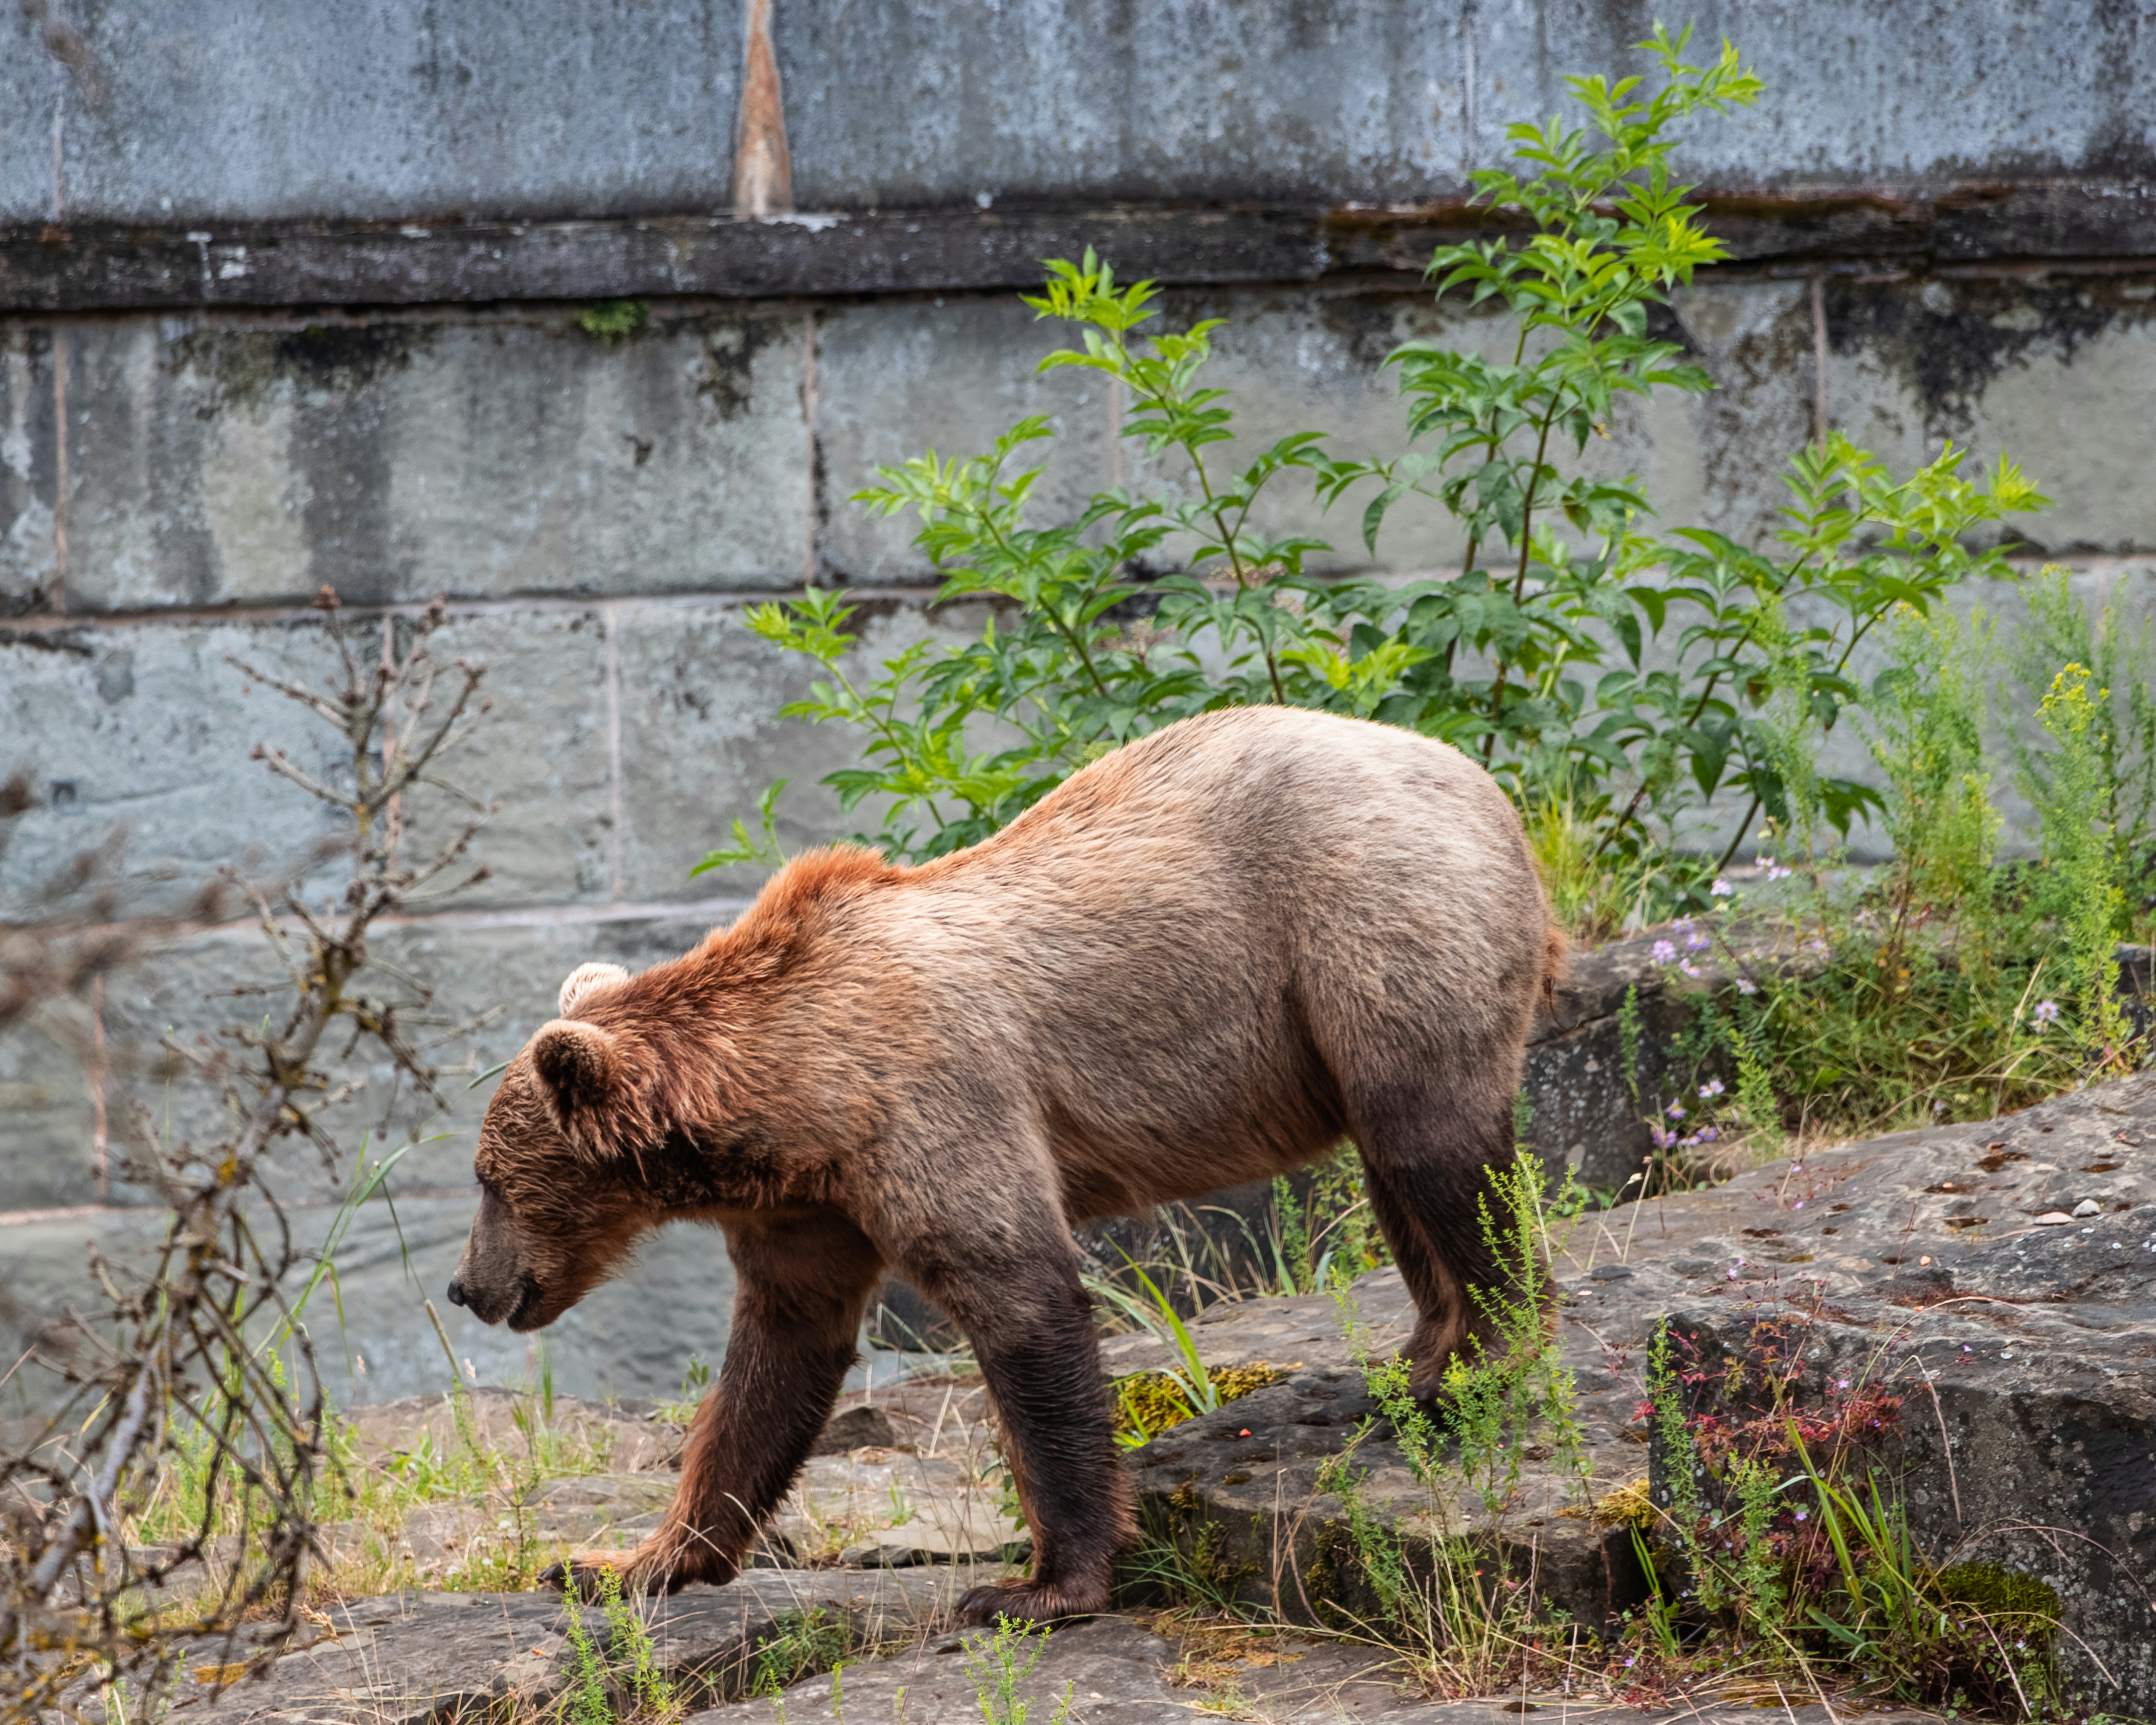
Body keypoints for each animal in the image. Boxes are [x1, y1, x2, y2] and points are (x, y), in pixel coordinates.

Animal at [448, 704, 1563, 1625]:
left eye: (490, 1181)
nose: (467, 1285)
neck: (792, 1097)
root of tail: (1484, 783)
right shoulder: (813, 1208)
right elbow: (772, 1367)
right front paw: (623, 1561)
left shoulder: (930, 1109)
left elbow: (1021, 1304)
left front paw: (1037, 1584)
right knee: (1394, 1169)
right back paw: (1426, 1356)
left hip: (1371, 927)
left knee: (1434, 1146)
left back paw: (1490, 1351)